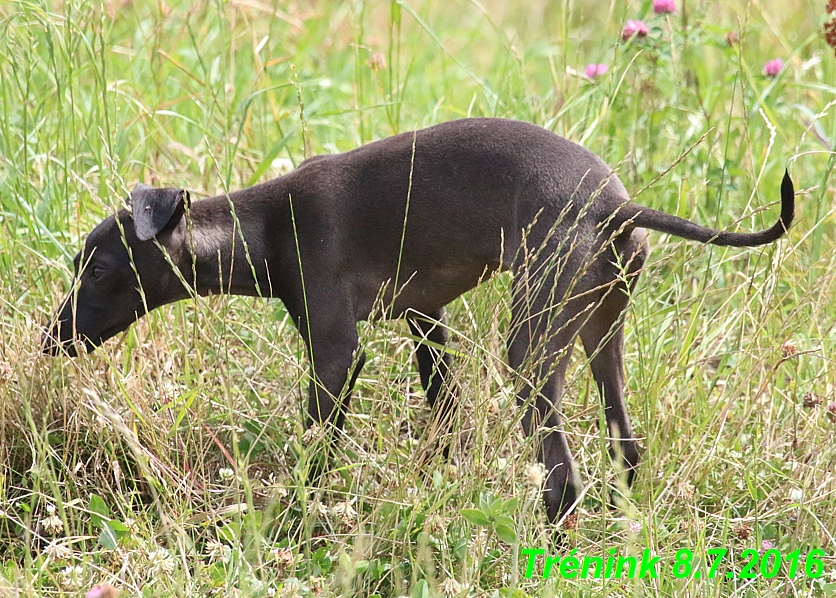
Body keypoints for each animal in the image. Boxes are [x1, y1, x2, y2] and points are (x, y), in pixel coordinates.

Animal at [40, 118, 796, 524]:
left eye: (98, 271)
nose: (49, 341)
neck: (266, 226)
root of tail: (614, 203)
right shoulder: (427, 321)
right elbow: (446, 416)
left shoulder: (337, 353)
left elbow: (316, 447)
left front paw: (296, 518)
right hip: (600, 331)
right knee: (626, 444)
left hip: (533, 346)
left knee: (562, 476)